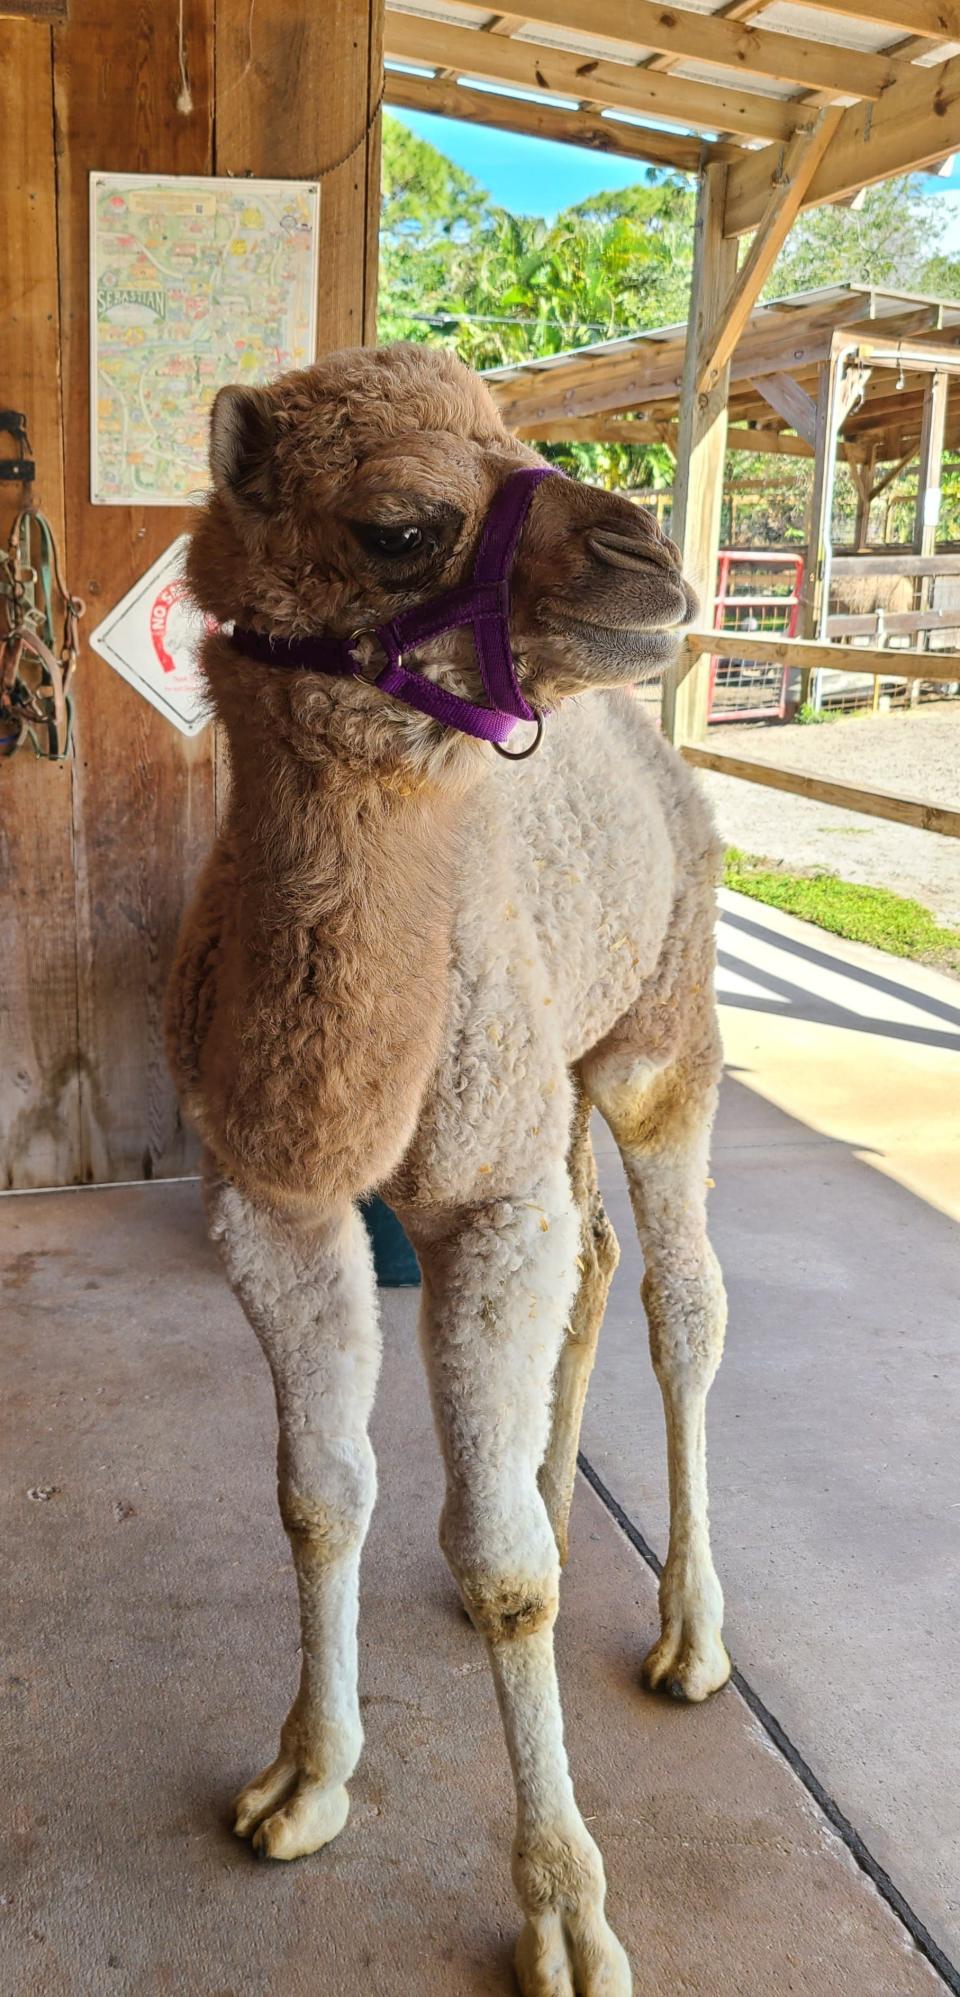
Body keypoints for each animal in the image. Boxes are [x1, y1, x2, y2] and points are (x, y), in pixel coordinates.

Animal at [168, 347, 730, 1997]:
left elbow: (506, 1574)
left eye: (515, 439)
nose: (651, 556)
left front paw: (569, 1917)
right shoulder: (270, 1200)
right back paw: (551, 1481)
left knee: (683, 1301)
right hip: (553, 1085)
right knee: (593, 1260)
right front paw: (303, 1783)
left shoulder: (481, 1191)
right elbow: (319, 1493)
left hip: (659, 1036)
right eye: (403, 526)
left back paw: (691, 1638)